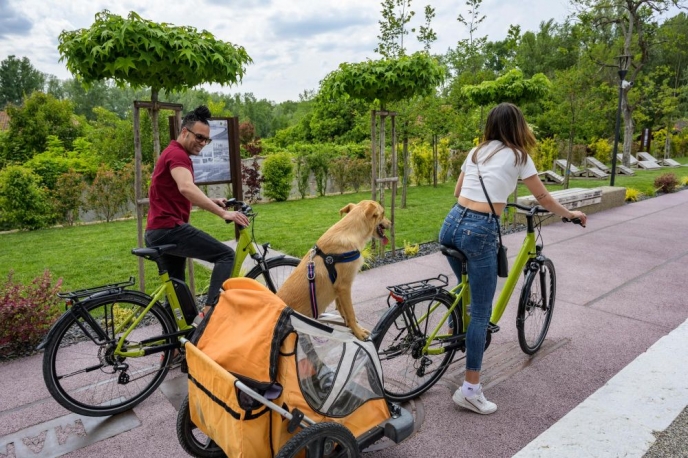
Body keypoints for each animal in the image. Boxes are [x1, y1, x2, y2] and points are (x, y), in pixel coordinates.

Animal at [276, 201, 390, 340]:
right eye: (383, 213)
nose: (391, 223)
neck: (349, 231)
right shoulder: (344, 286)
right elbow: (350, 313)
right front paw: (358, 332)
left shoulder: (337, 288)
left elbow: (342, 309)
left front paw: (349, 326)